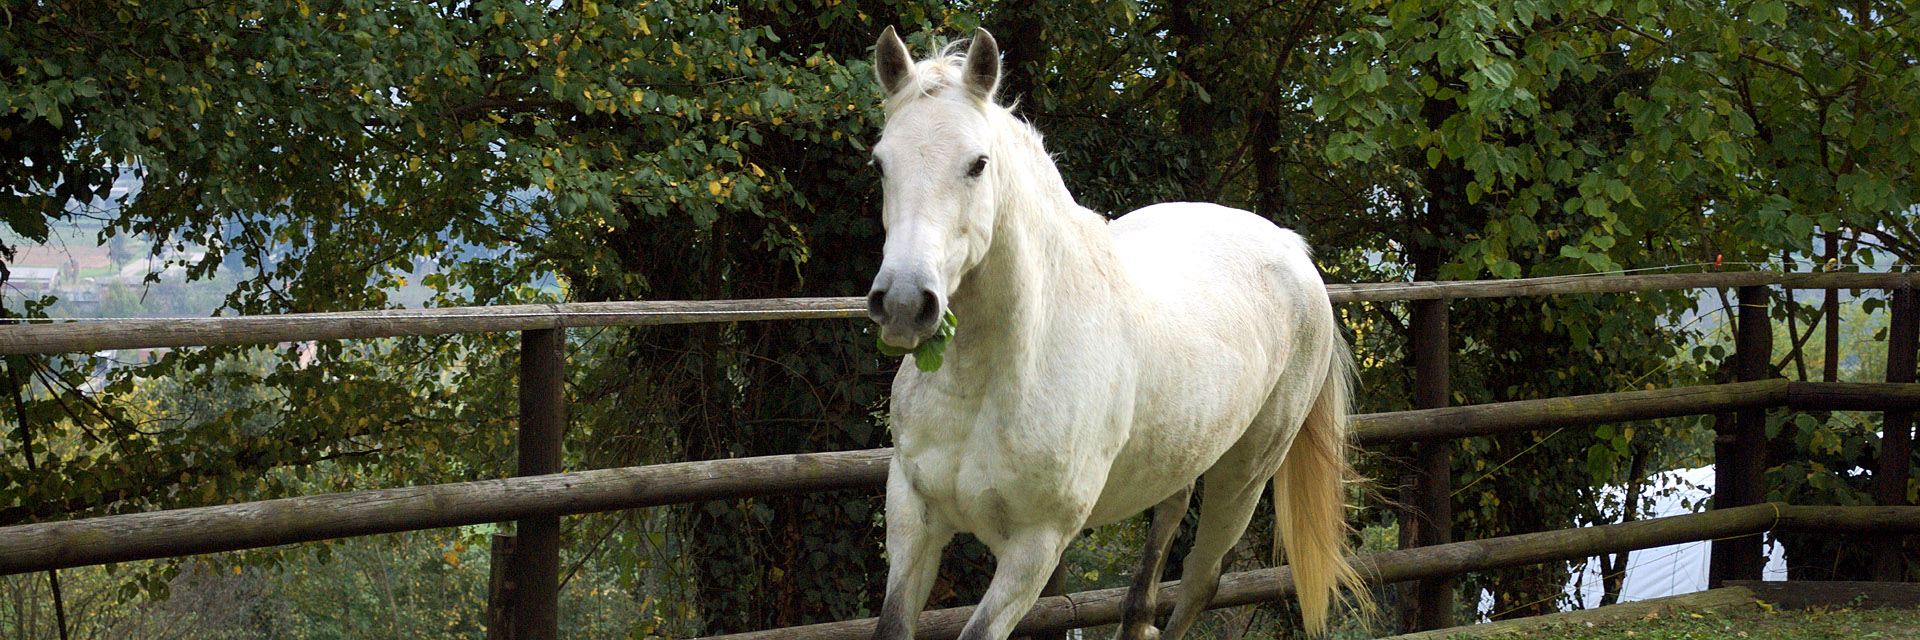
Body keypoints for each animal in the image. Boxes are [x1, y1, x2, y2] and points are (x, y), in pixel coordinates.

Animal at [862, 27, 1367, 640]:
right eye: (881, 163)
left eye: (978, 164)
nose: (905, 302)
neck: (993, 376)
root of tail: (1292, 249)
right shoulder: (912, 520)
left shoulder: (1034, 549)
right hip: (1185, 448)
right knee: (1167, 526)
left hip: (1245, 476)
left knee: (1201, 580)